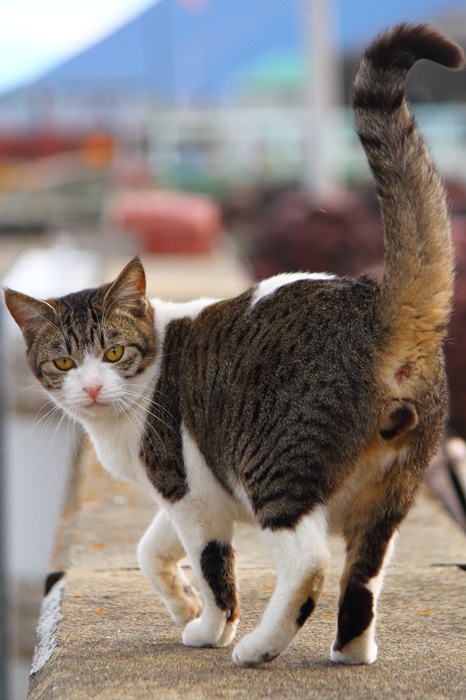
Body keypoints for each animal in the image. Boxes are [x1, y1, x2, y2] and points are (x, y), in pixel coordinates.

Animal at [4, 23, 466, 668]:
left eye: (114, 353)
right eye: (64, 362)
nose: (91, 387)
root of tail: (375, 306)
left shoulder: (190, 494)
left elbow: (212, 567)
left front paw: (208, 627)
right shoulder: (189, 488)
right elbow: (151, 549)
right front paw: (182, 605)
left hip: (274, 465)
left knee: (310, 562)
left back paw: (256, 647)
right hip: (392, 489)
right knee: (364, 574)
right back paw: (350, 651)